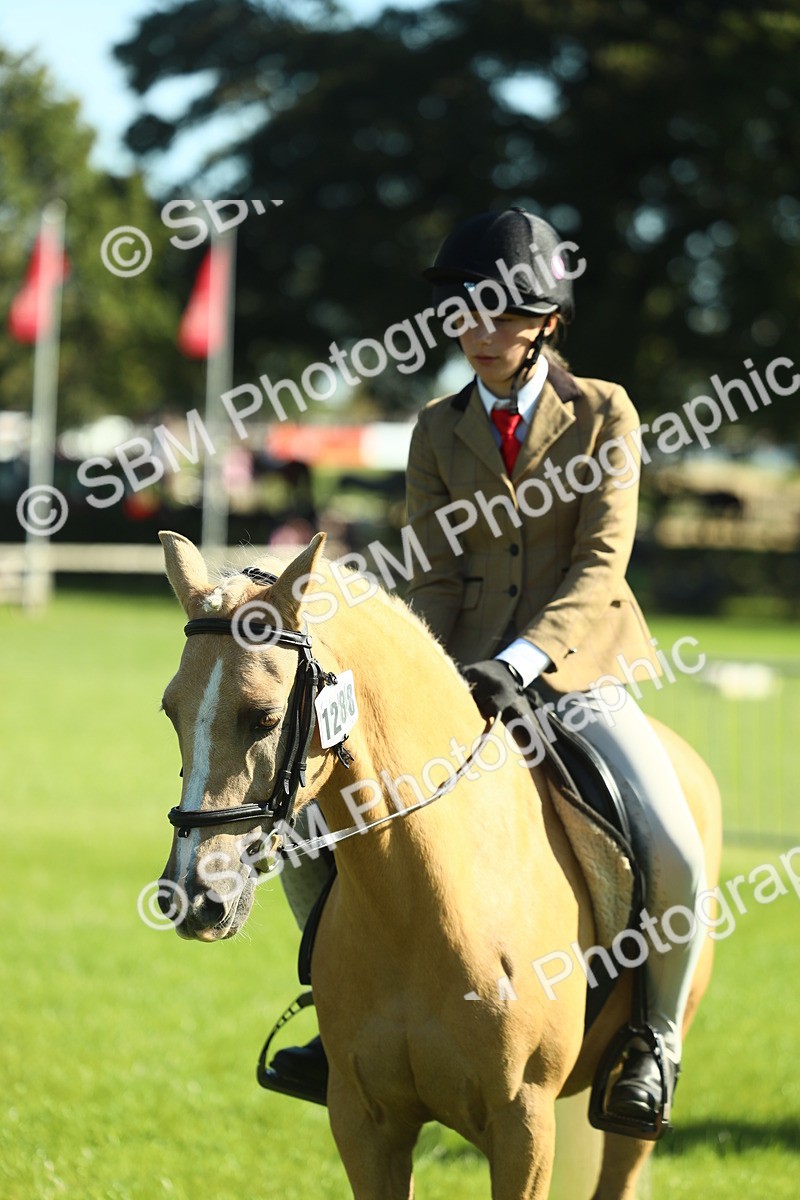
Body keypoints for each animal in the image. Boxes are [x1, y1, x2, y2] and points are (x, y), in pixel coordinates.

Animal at [155, 529, 722, 1200]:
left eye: (264, 717)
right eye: (171, 710)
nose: (192, 898)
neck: (420, 906)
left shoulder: (523, 1126)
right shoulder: (365, 1122)